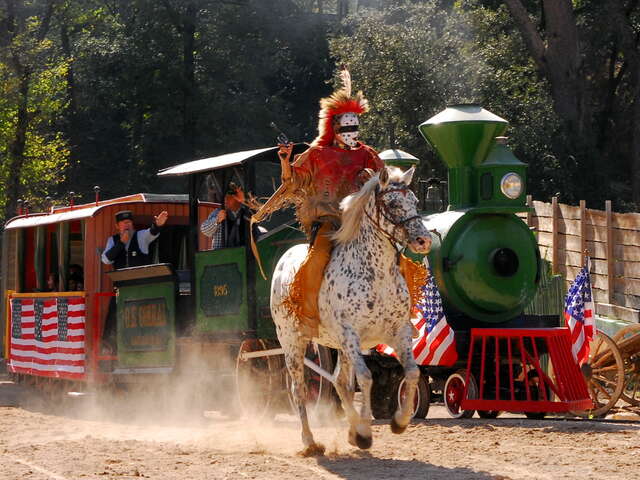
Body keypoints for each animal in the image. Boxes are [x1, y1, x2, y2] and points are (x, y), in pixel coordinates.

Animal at [268, 167, 430, 456]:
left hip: (338, 347)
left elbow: (412, 372)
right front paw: (365, 432)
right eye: (392, 204)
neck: (376, 276)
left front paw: (398, 422)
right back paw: (310, 441)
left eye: (414, 201)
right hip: (293, 343)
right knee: (299, 389)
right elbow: (365, 378)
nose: (424, 240)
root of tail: (284, 259)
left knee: (339, 381)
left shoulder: (398, 333)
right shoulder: (351, 335)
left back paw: (352, 429)